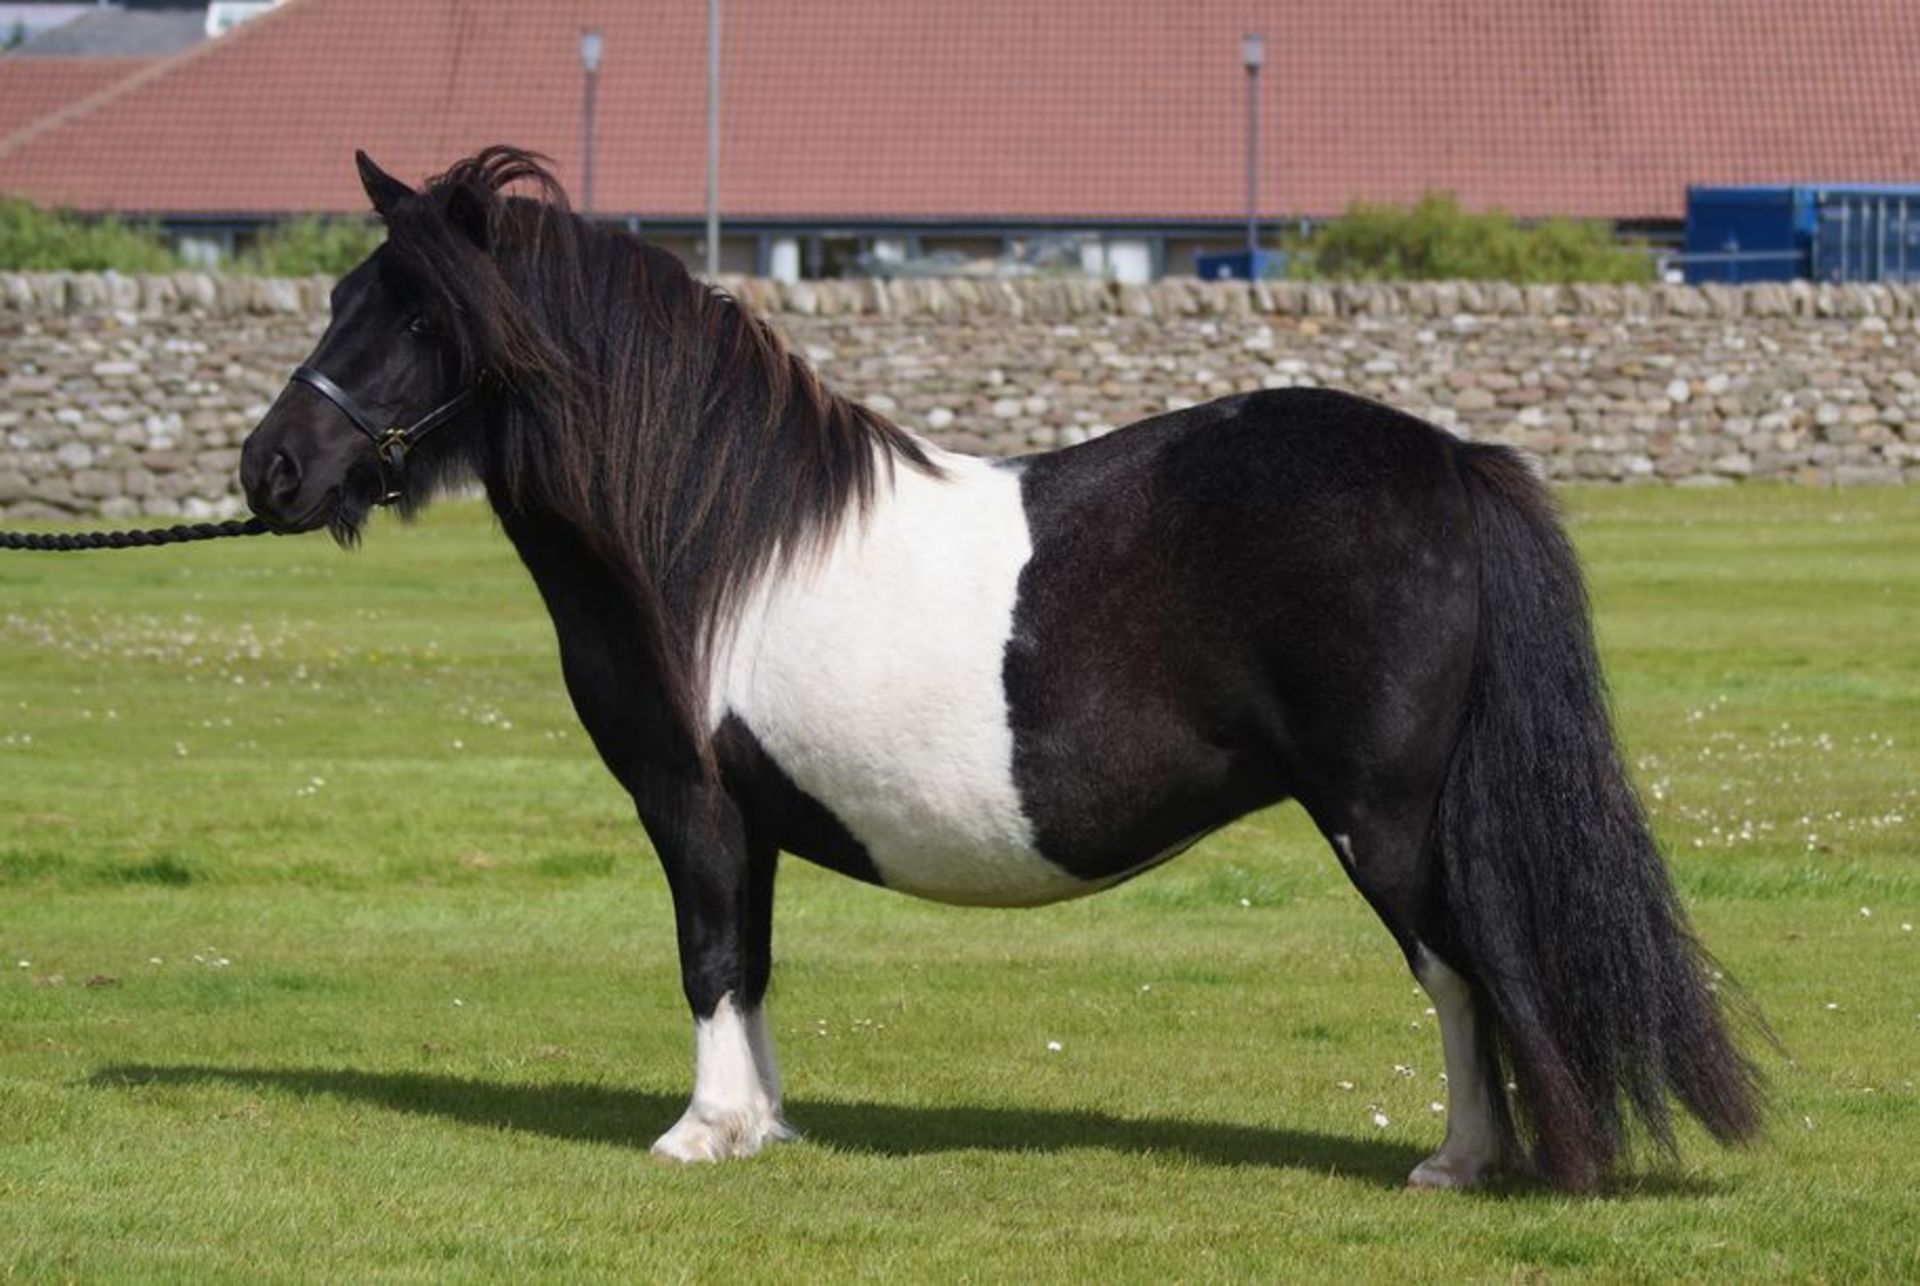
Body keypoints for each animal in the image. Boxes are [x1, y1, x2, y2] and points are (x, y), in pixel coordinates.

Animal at [236, 145, 1758, 1197]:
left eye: (414, 315)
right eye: (340, 293)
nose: (272, 469)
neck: (709, 539)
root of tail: (1447, 458)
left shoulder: (694, 803)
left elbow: (709, 956)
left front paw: (703, 1131)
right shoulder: (753, 819)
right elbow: (756, 962)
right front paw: (768, 1121)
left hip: (1385, 818)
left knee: (1463, 969)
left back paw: (1470, 1162)